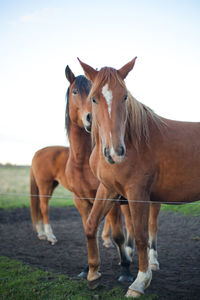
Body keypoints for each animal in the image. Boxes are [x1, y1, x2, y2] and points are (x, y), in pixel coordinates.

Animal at [77, 57, 199, 298]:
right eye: (94, 98)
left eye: (125, 96)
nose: (115, 152)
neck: (135, 140)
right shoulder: (108, 189)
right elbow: (91, 225)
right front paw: (93, 274)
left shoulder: (137, 193)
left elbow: (141, 236)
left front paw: (140, 282)